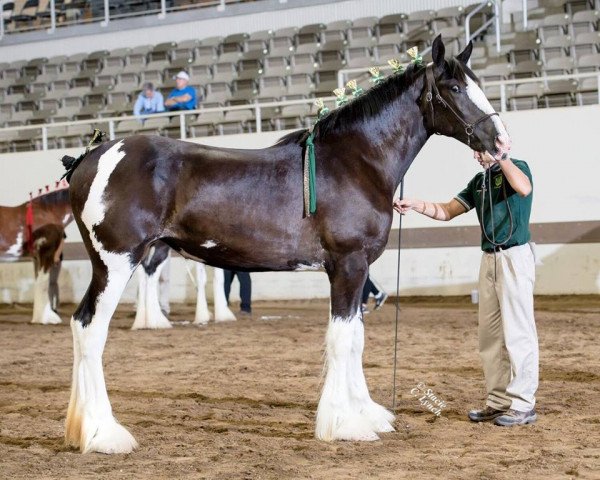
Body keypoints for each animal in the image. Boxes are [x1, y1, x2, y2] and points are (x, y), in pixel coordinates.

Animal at [62, 38, 510, 454]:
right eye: (455, 87)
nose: (501, 141)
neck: (355, 161)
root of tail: (90, 158)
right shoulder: (348, 266)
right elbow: (342, 339)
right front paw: (344, 425)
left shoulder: (356, 270)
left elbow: (357, 338)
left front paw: (367, 413)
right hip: (115, 263)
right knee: (90, 329)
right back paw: (104, 434)